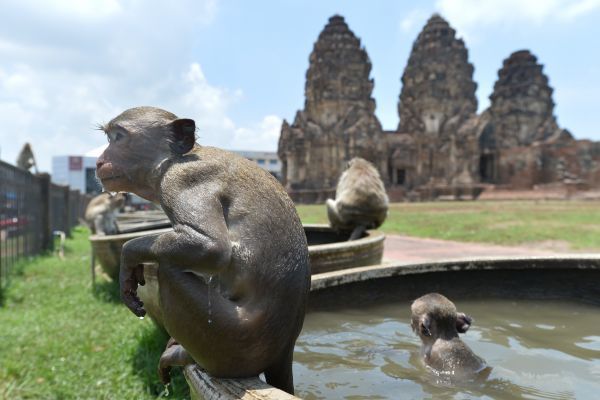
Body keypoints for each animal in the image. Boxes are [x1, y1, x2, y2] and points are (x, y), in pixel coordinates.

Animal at [95, 106, 310, 394]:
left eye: (118, 137)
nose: (99, 161)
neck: (174, 159)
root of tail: (285, 350)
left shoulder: (182, 180)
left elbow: (211, 248)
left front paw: (129, 256)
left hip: (232, 343)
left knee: (169, 269)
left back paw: (184, 356)